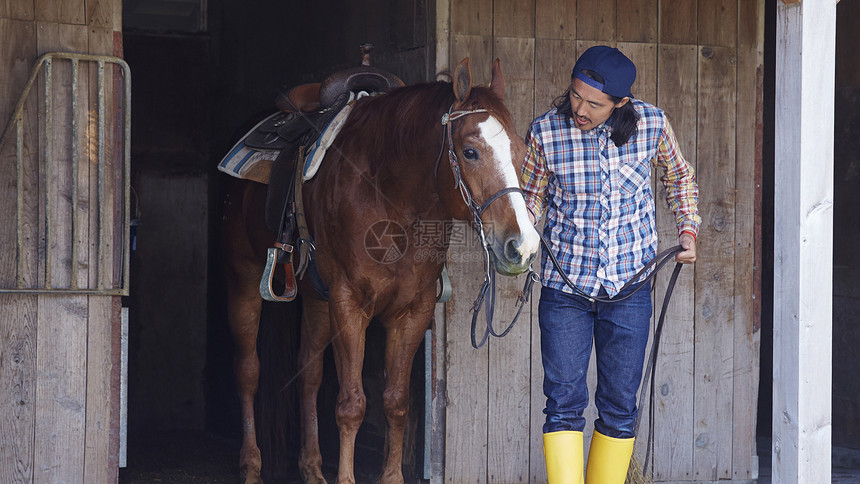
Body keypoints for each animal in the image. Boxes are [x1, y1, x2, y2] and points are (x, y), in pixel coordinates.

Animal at [218, 57, 536, 484]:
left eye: (521, 150)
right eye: (470, 152)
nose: (523, 245)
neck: (390, 199)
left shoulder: (412, 312)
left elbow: (396, 403)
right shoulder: (350, 305)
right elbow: (352, 404)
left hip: (317, 301)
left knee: (308, 374)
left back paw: (312, 467)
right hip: (245, 279)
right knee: (248, 371)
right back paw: (251, 466)